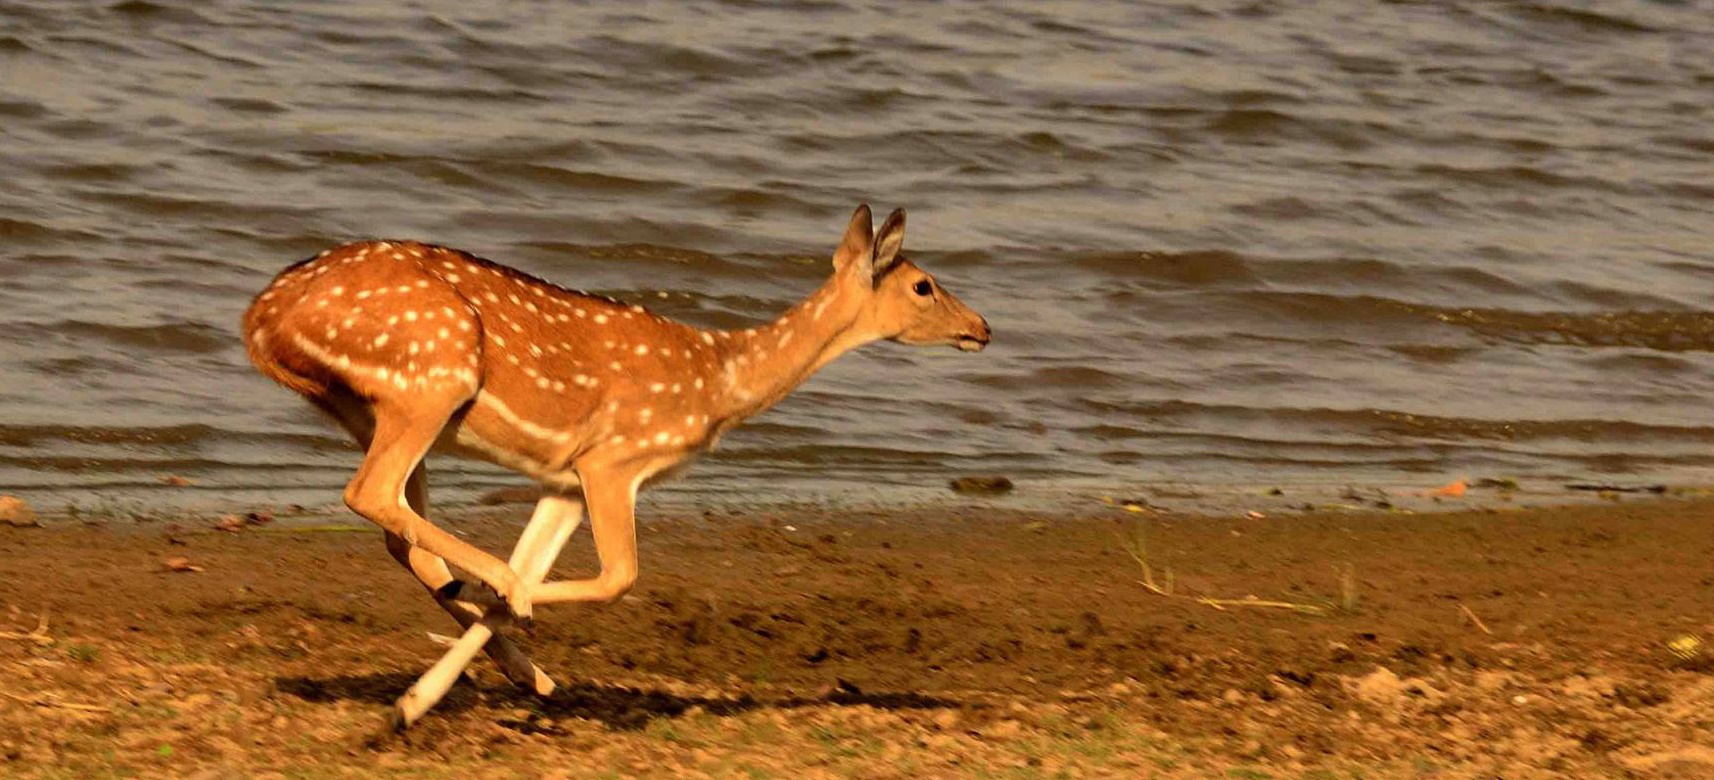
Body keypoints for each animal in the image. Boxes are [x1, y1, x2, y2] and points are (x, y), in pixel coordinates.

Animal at [241, 204, 994, 730]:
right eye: (924, 285)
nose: (983, 328)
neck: (718, 387)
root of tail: (260, 318)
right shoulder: (613, 460)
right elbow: (619, 577)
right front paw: (507, 618)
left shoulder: (565, 478)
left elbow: (552, 562)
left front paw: (417, 701)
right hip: (432, 374)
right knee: (371, 494)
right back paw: (501, 594)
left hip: (378, 407)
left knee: (399, 528)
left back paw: (515, 657)